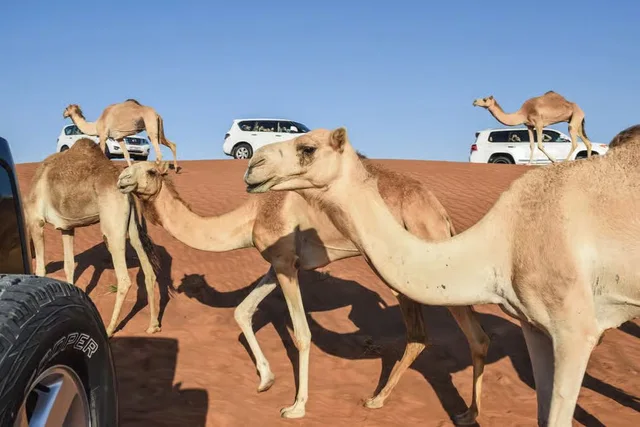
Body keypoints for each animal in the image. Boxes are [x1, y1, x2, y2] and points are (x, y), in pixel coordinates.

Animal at [24, 138, 161, 337]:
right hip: (134, 227)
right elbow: (68, 266)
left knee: (124, 278)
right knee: (148, 271)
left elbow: (40, 270)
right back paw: (153, 325)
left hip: (112, 226)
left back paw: (110, 328)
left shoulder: (36, 221)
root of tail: (126, 188)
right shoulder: (67, 228)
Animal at [116, 160, 490, 423]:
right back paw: (394, 401)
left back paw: (453, 411)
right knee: (431, 335)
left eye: (150, 170)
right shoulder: (279, 263)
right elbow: (242, 310)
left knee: (458, 334)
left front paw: (296, 407)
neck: (250, 216)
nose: (122, 180)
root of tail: (436, 208)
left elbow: (302, 333)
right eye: (130, 165)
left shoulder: (284, 262)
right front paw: (266, 380)